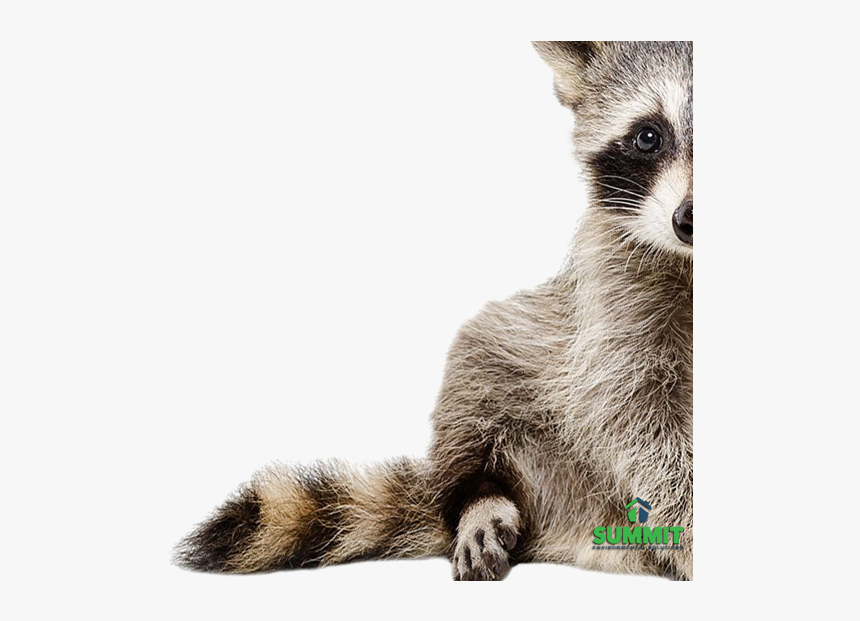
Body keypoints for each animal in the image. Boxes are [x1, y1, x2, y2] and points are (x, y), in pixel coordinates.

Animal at [175, 41, 693, 581]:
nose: (688, 219)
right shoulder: (611, 296)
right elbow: (632, 413)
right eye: (648, 136)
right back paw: (481, 497)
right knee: (478, 361)